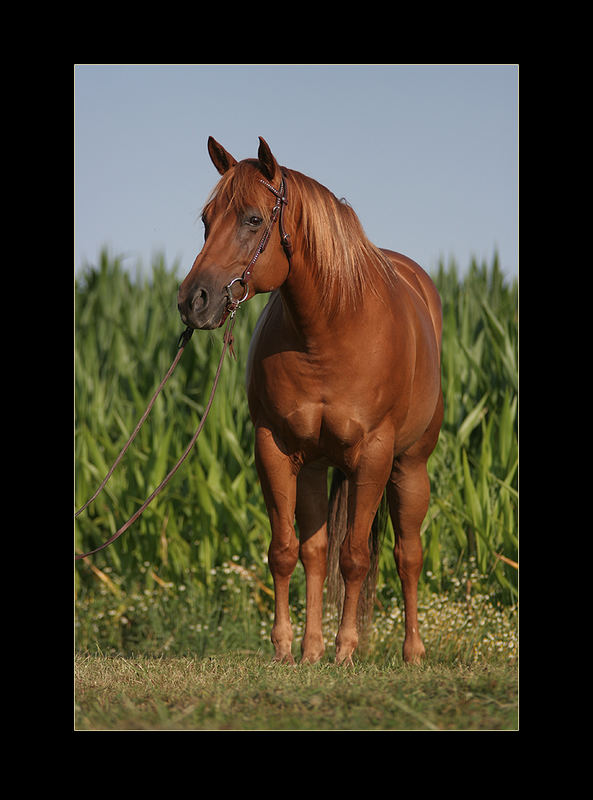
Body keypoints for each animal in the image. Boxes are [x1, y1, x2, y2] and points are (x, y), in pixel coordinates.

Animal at [178, 138, 442, 668]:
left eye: (253, 219)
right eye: (206, 219)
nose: (194, 301)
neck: (330, 330)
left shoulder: (374, 455)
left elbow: (356, 558)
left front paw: (346, 651)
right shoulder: (275, 449)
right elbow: (287, 550)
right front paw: (288, 647)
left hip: (409, 467)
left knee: (407, 555)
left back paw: (411, 652)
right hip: (318, 468)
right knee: (317, 550)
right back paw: (312, 647)